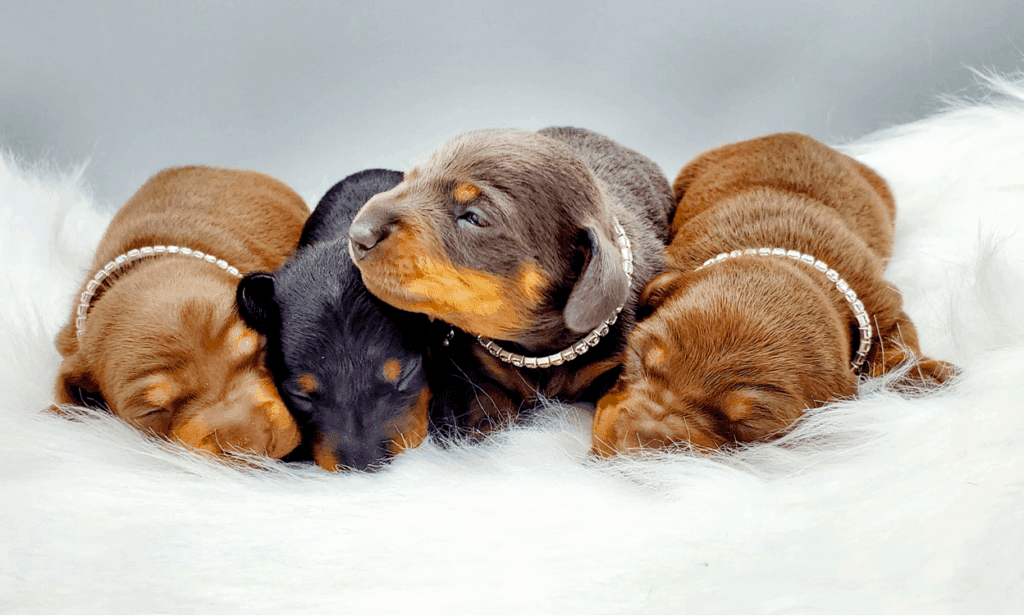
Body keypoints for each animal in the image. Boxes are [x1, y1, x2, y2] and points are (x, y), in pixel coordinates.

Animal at [348, 126, 675, 429]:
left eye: (475, 217)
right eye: (408, 178)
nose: (357, 233)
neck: (537, 349)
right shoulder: (476, 366)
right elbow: (483, 400)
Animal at [589, 132, 954, 452]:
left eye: (748, 424)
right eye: (637, 357)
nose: (633, 446)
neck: (780, 254)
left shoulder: (882, 303)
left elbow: (897, 344)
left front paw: (922, 373)